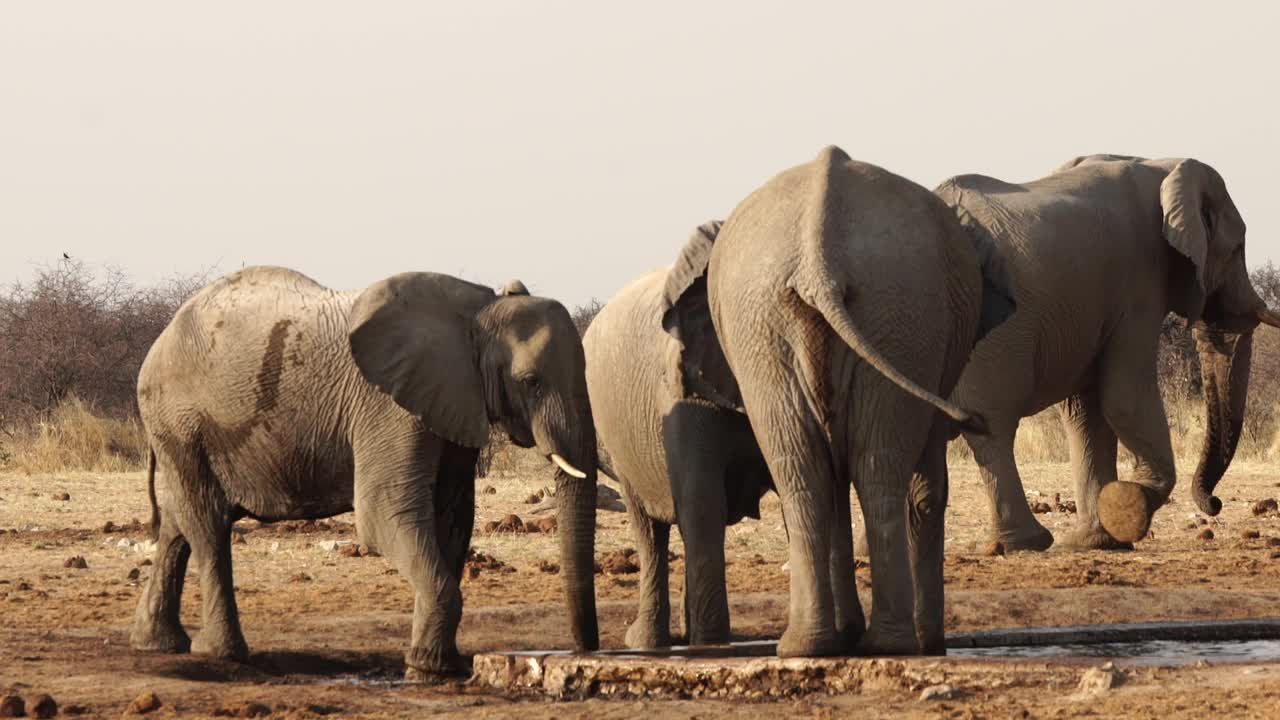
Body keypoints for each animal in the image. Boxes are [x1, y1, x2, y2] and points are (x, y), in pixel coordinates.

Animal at [586, 221, 773, 648]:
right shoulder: (679, 388)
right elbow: (702, 502)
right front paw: (711, 645)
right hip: (620, 440)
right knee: (650, 530)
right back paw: (646, 642)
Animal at [665, 147, 1013, 655]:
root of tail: (818, 259)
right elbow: (923, 487)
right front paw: (918, 641)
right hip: (876, 317)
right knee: (858, 469)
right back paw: (866, 643)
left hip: (846, 318)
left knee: (813, 472)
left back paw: (824, 645)